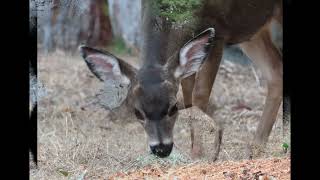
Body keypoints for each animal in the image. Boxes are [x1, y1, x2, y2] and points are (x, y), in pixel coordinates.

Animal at [79, 0, 282, 160]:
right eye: (137, 112)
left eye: (172, 108)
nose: (161, 149)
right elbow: (189, 96)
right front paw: (195, 149)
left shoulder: (218, 33)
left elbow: (199, 96)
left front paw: (199, 153)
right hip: (252, 30)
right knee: (276, 71)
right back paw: (256, 149)